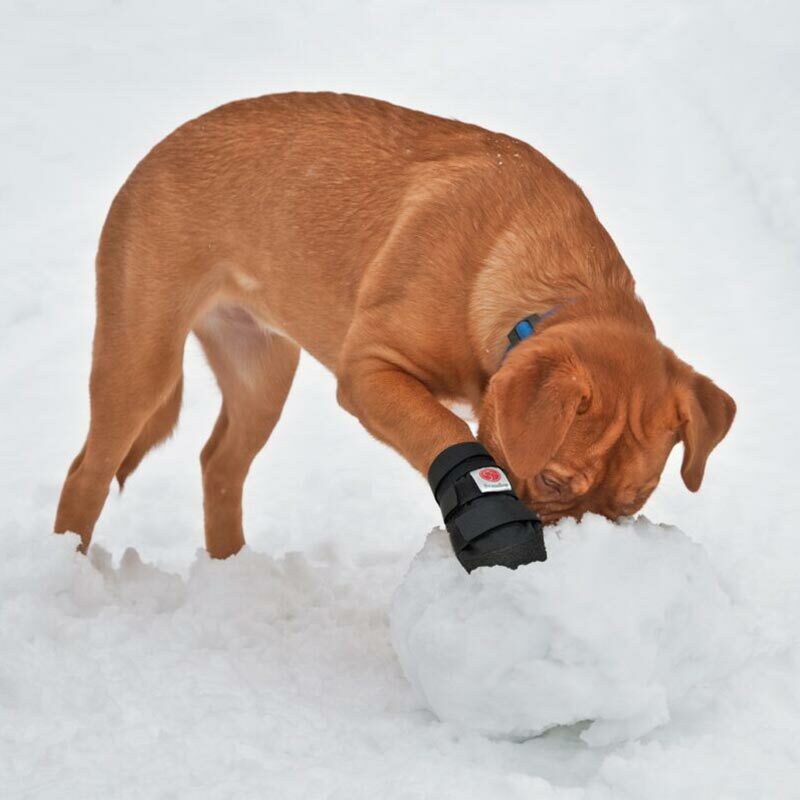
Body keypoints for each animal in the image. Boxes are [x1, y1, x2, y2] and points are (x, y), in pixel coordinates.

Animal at [53, 92, 736, 556]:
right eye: (550, 479)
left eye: (632, 504)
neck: (552, 287)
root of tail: (156, 152)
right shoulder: (369, 371)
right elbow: (444, 430)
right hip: (140, 361)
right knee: (87, 474)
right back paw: (73, 572)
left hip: (261, 370)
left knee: (220, 465)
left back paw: (232, 573)